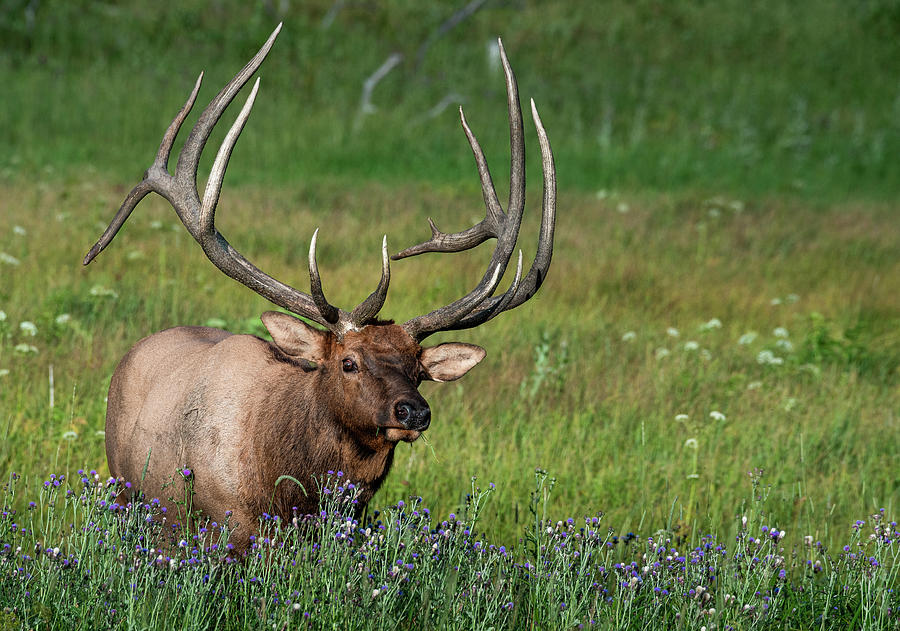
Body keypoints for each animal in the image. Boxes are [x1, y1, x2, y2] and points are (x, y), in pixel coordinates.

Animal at [88, 24, 560, 552]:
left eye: (418, 369)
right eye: (348, 362)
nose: (414, 412)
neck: (291, 491)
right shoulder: (227, 530)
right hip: (127, 490)